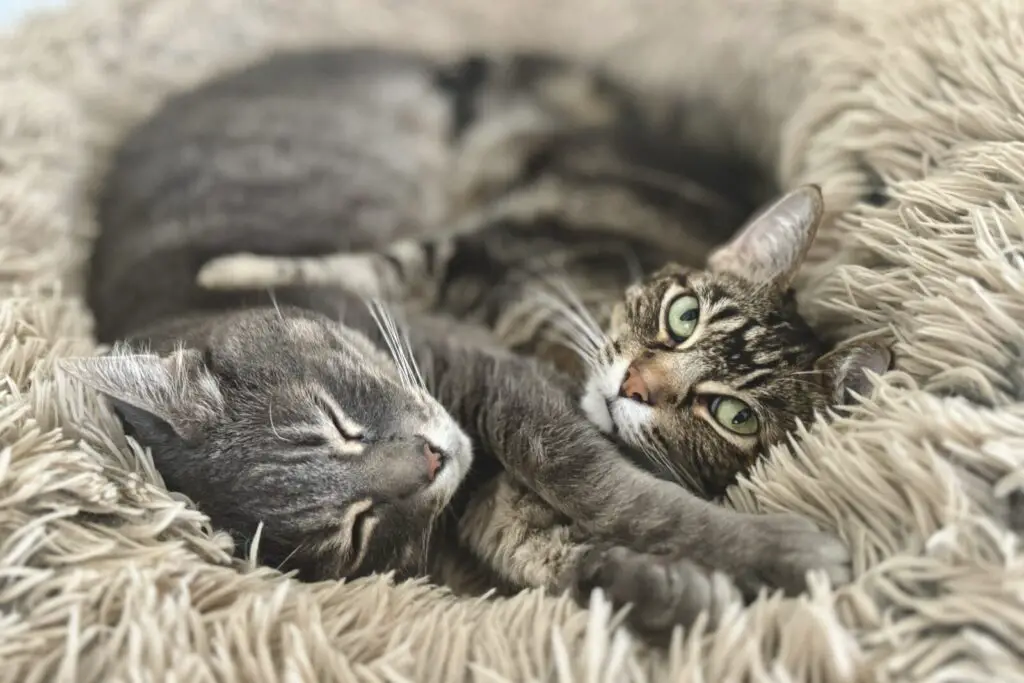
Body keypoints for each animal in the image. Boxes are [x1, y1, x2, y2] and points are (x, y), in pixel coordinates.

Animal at [66, 48, 888, 643]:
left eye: (337, 421)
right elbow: (547, 541)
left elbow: (610, 491)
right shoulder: (487, 482)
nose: (433, 460)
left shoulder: (506, 384)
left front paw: (782, 554)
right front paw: (669, 589)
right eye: (356, 527)